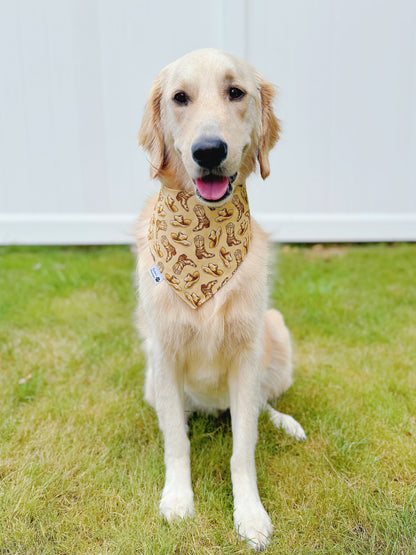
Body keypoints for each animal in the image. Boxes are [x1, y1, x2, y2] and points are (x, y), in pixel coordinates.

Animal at [136, 48, 306, 552]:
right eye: (179, 98)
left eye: (236, 92)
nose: (208, 151)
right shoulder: (164, 353)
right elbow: (176, 440)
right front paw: (177, 499)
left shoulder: (246, 355)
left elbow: (243, 448)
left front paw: (250, 514)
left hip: (275, 333)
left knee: (261, 405)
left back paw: (286, 423)